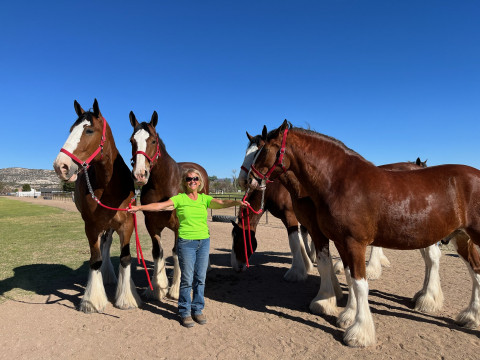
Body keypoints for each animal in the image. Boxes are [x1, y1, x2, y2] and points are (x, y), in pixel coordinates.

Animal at [54, 100, 142, 314]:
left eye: (89, 130)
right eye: (71, 129)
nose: (60, 166)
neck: (109, 184)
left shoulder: (126, 224)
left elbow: (125, 258)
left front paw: (126, 299)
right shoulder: (91, 226)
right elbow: (95, 259)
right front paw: (92, 301)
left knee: (107, 244)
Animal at [128, 110, 209, 300]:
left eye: (153, 141)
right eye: (132, 140)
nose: (140, 175)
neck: (162, 185)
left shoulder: (179, 226)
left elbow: (178, 252)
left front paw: (175, 289)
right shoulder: (151, 224)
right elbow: (158, 252)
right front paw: (156, 288)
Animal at [248, 120, 480, 346]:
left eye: (264, 150)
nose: (249, 180)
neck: (340, 182)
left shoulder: (354, 243)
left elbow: (360, 284)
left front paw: (359, 332)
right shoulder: (341, 242)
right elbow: (350, 277)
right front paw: (348, 315)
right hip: (461, 237)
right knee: (475, 271)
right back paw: (470, 316)